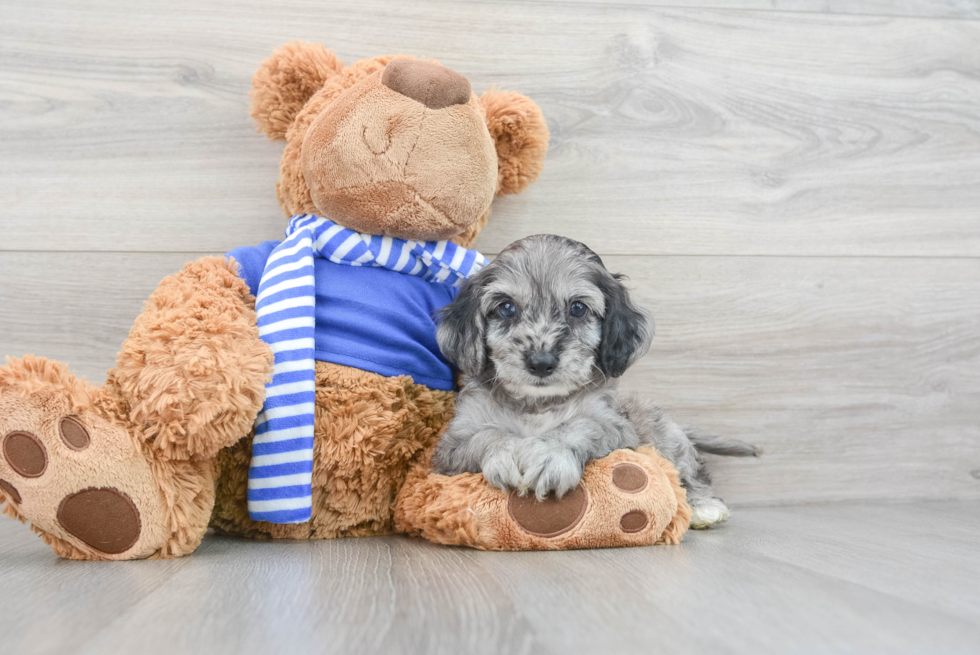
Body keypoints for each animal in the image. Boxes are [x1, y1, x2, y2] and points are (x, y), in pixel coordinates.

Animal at [430, 234, 756, 528]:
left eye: (578, 308)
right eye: (506, 308)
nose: (541, 362)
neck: (537, 405)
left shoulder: (616, 428)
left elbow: (582, 425)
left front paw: (550, 453)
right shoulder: (451, 445)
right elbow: (484, 435)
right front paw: (507, 452)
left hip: (662, 432)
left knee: (690, 469)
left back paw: (704, 506)